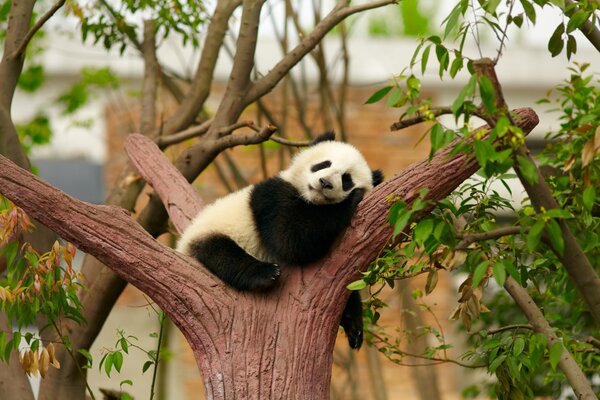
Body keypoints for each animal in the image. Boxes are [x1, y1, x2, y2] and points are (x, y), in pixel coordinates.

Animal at [178, 133, 382, 348]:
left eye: (346, 179)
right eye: (323, 164)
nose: (325, 182)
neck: (311, 199)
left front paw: (354, 324)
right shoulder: (272, 197)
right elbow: (289, 239)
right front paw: (352, 199)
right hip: (211, 232)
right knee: (221, 253)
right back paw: (264, 273)